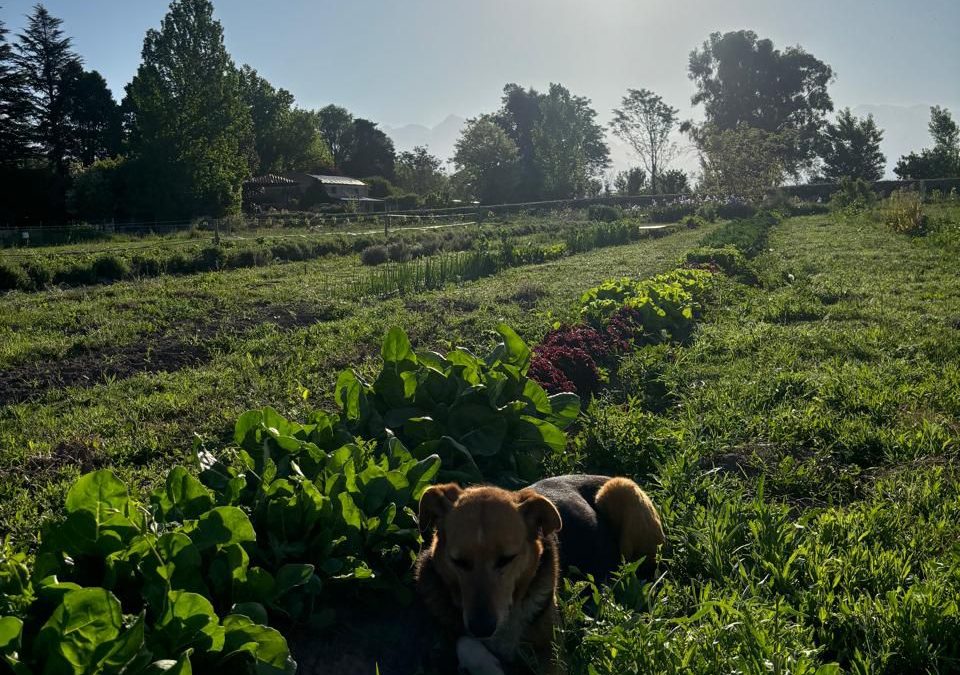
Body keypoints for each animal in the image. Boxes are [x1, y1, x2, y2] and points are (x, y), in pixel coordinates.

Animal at [412, 476, 668, 675]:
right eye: (458, 561)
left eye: (507, 558)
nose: (482, 628)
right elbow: (462, 641)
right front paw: (486, 664)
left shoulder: (552, 652)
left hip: (620, 490)